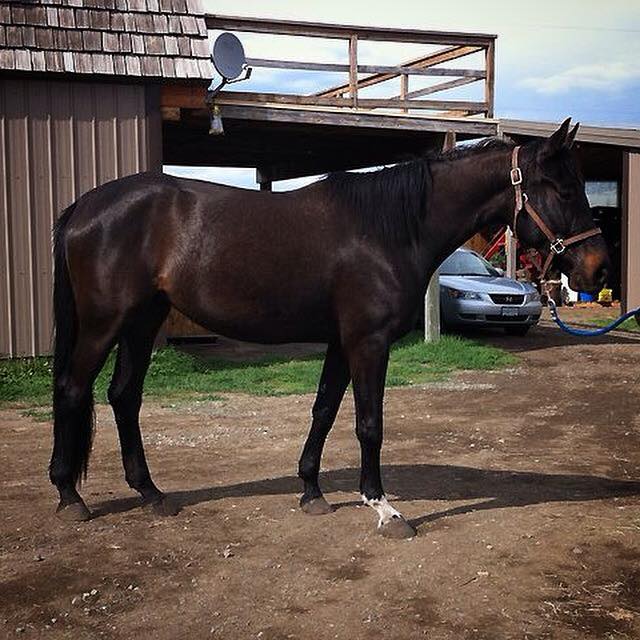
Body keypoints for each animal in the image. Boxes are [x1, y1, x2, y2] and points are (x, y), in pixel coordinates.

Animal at [50, 118, 609, 539]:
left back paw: (150, 493)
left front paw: (312, 492)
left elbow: (323, 410)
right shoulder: (369, 342)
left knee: (123, 396)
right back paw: (69, 494)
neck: (386, 228)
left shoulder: (343, 342)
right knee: (75, 389)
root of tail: (84, 206)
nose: (599, 270)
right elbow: (369, 424)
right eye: (562, 189)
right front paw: (384, 508)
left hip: (141, 322)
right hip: (104, 323)